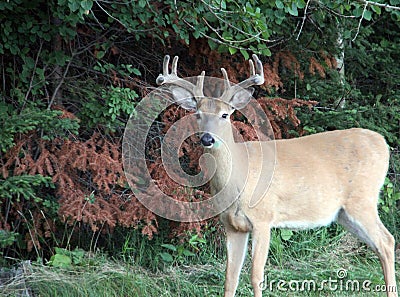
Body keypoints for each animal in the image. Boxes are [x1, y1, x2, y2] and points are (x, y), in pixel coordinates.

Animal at [156, 53, 396, 296]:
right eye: (197, 114)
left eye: (224, 114)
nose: (207, 138)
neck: (239, 180)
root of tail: (383, 143)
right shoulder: (232, 225)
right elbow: (230, 278)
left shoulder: (263, 218)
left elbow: (256, 276)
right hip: (343, 213)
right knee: (379, 245)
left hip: (362, 199)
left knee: (387, 241)